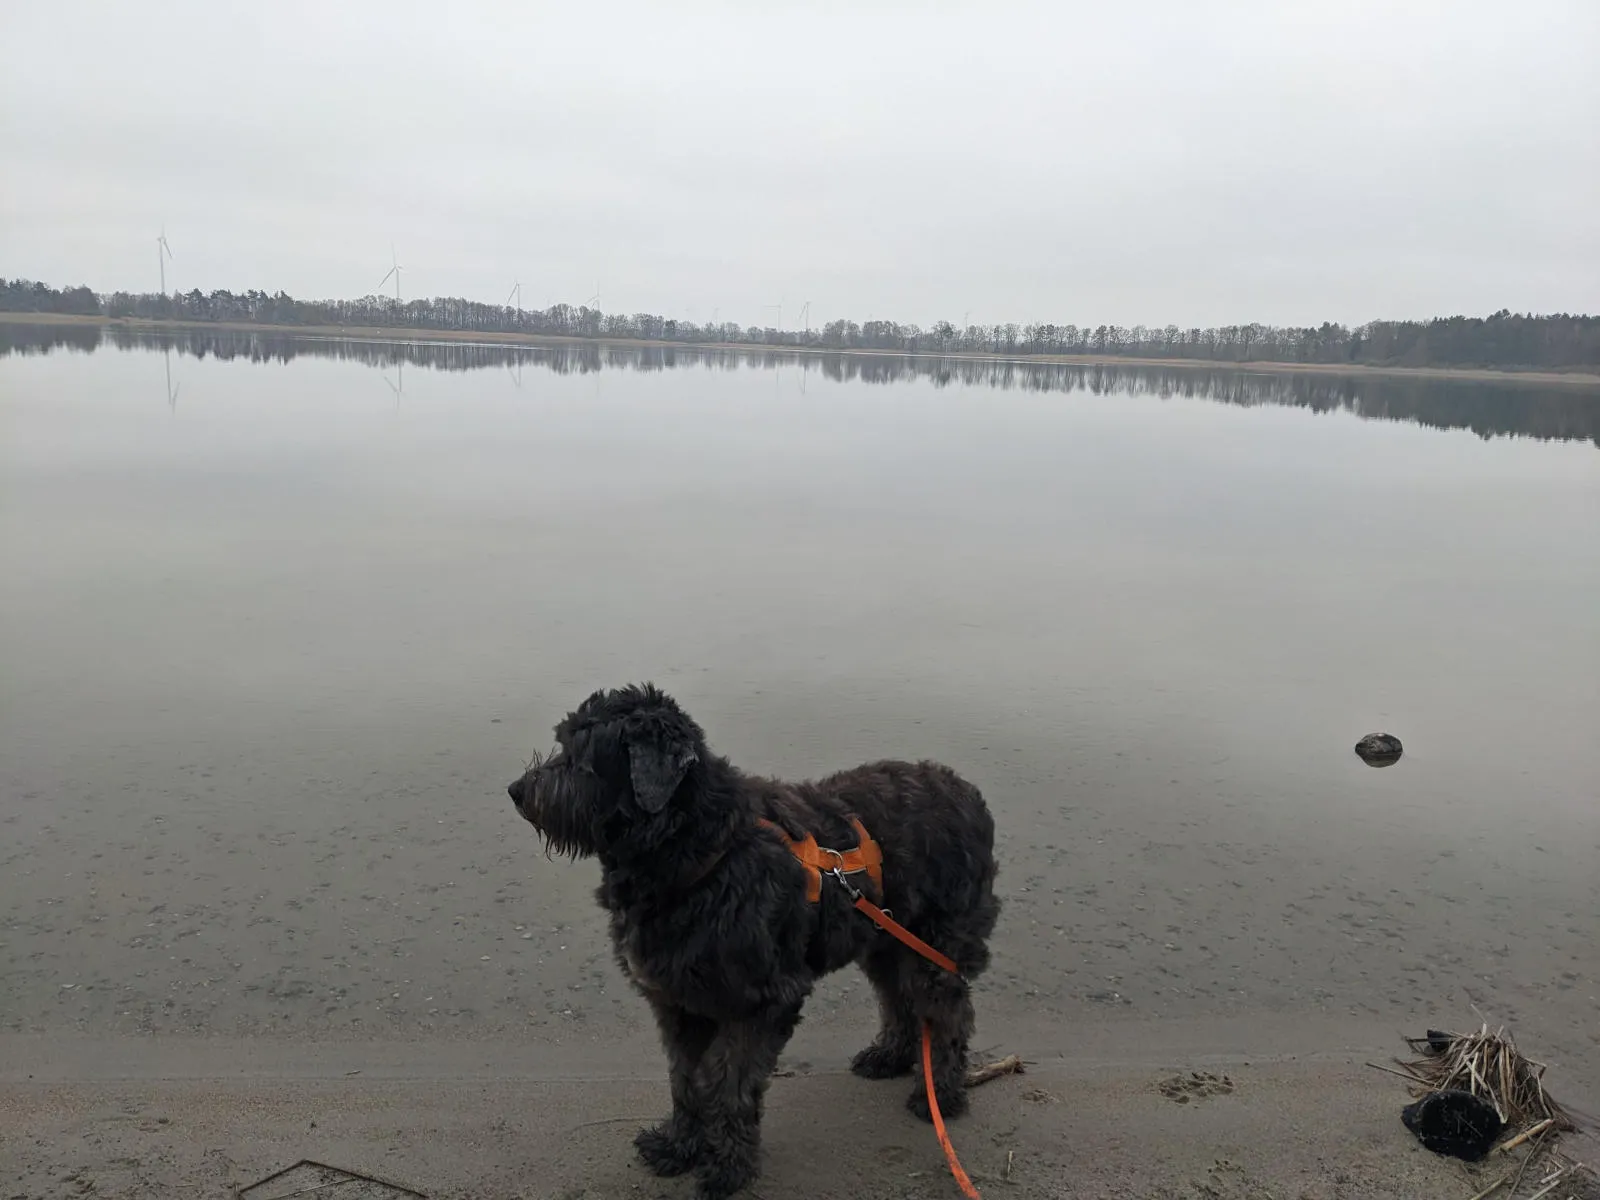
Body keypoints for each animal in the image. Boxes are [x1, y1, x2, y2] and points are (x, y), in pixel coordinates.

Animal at [505, 684, 998, 1200]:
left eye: (582, 756)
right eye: (563, 743)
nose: (517, 791)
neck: (706, 852)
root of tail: (967, 792)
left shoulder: (761, 1003)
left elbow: (726, 1084)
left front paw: (727, 1167)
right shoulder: (679, 1003)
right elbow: (685, 1080)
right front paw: (680, 1146)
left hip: (935, 944)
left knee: (949, 1013)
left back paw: (940, 1093)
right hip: (885, 940)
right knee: (897, 998)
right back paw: (890, 1057)